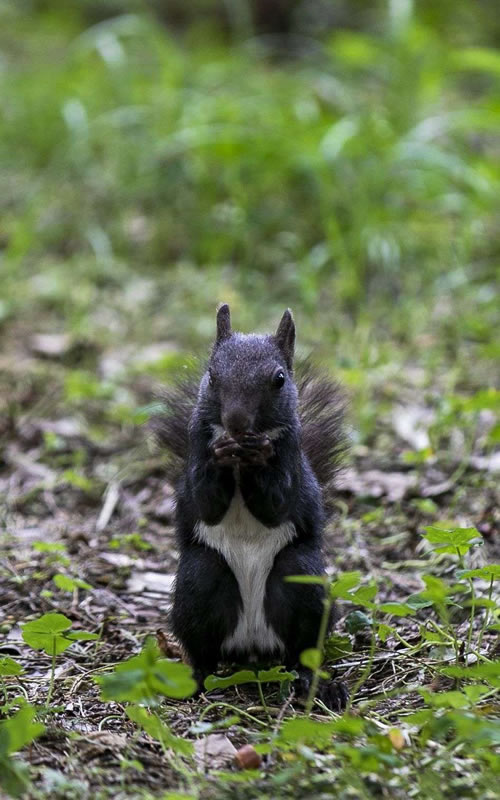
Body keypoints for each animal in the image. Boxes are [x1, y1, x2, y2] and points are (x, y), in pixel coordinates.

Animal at [153, 304, 348, 708]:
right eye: (211, 376)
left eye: (279, 379)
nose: (237, 422)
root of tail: (253, 645)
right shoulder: (197, 446)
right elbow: (205, 502)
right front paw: (221, 454)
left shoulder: (290, 454)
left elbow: (277, 504)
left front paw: (258, 456)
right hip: (199, 582)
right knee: (204, 651)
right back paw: (195, 677)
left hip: (302, 581)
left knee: (303, 650)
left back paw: (316, 683)